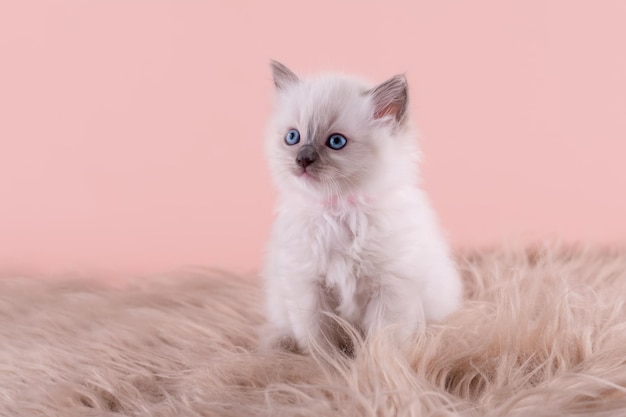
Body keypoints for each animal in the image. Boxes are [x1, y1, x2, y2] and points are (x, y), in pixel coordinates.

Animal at [260, 61, 460, 354]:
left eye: (336, 142)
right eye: (292, 137)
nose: (302, 159)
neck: (339, 210)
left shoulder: (391, 288)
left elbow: (384, 339)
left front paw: (376, 363)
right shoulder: (308, 286)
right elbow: (318, 338)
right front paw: (327, 362)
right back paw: (281, 343)